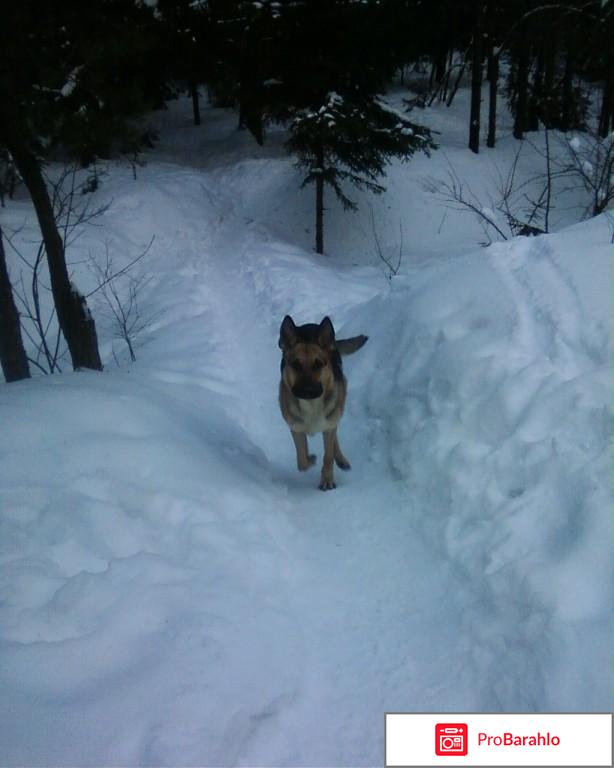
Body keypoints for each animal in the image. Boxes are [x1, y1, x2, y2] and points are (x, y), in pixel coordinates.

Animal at [282, 314, 368, 488]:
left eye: (318, 364)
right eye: (295, 365)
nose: (308, 390)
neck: (311, 405)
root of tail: (311, 325)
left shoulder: (329, 424)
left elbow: (327, 456)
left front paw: (327, 479)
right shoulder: (296, 428)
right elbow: (301, 461)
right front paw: (310, 459)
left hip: (336, 409)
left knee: (333, 437)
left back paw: (340, 459)